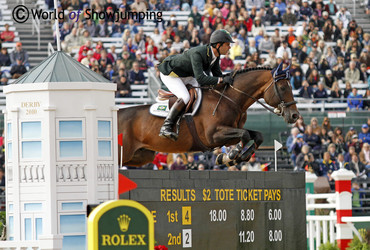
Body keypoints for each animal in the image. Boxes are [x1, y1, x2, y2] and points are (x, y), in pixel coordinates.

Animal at [118, 63, 300, 167]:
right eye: (283, 88)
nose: (295, 116)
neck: (230, 99)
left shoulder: (229, 132)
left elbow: (257, 135)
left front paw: (234, 157)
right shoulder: (213, 136)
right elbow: (245, 134)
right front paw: (231, 155)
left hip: (141, 156)